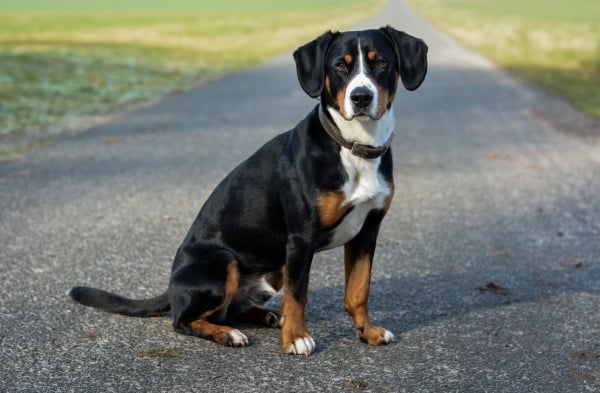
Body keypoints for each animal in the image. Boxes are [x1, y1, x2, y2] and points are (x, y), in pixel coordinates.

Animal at [70, 25, 426, 356]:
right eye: (340, 65)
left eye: (380, 63)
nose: (361, 97)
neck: (353, 147)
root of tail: (171, 285)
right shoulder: (300, 239)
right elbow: (299, 295)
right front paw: (296, 339)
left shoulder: (367, 230)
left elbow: (358, 290)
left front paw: (368, 332)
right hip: (223, 261)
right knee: (185, 320)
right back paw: (229, 334)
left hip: (270, 273)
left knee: (232, 310)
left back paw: (270, 316)